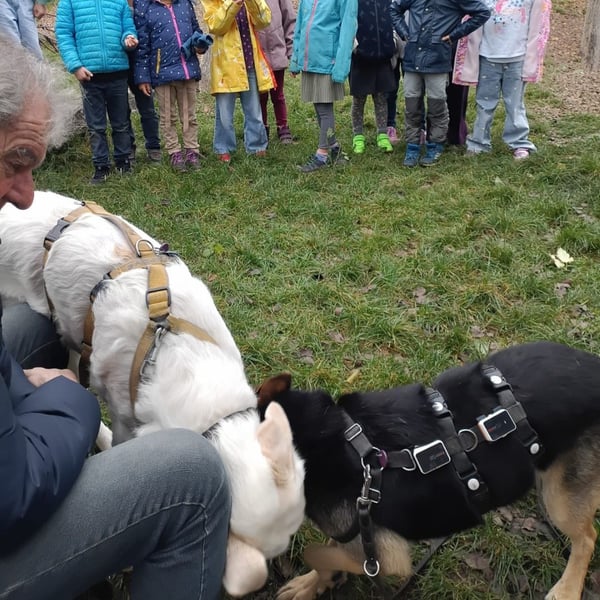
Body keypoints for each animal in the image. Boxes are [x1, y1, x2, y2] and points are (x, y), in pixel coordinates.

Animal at [257, 341, 600, 600]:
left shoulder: (386, 555)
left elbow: (316, 552)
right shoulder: (358, 529)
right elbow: (331, 550)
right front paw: (313, 584)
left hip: (560, 497)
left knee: (587, 538)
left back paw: (567, 589)